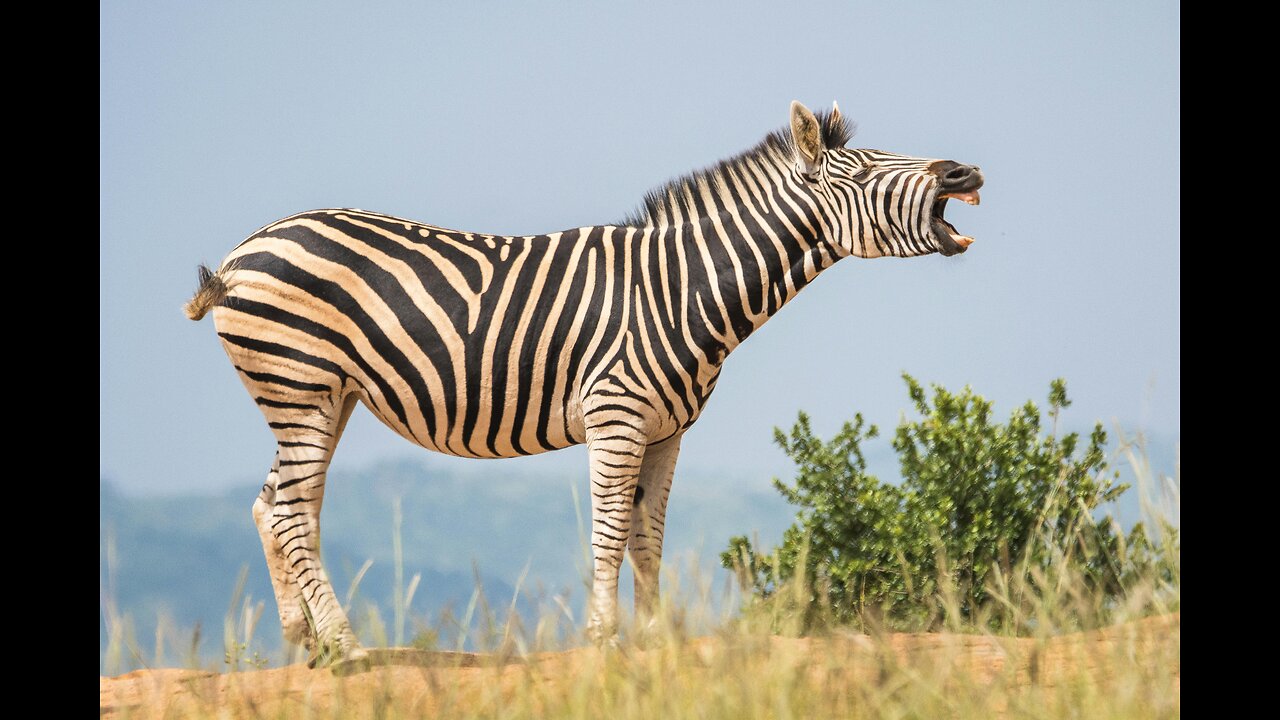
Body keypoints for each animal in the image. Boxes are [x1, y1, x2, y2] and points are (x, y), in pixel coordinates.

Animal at [183, 101, 977, 666]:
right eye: (866, 172)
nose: (964, 174)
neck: (682, 289)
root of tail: (243, 251)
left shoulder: (667, 431)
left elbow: (647, 535)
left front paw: (654, 640)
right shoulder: (616, 415)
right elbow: (608, 530)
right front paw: (604, 638)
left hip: (323, 394)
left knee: (275, 506)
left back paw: (305, 643)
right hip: (300, 384)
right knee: (291, 512)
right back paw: (348, 648)